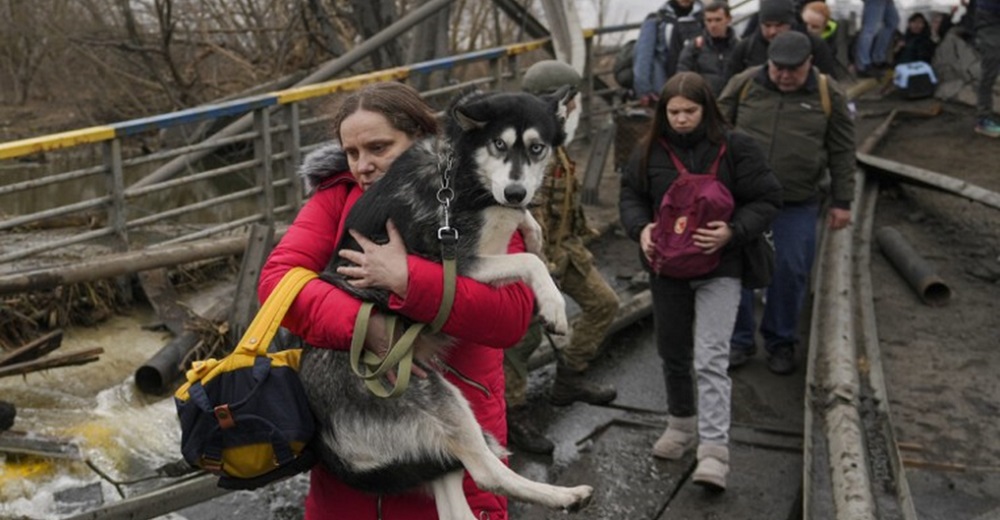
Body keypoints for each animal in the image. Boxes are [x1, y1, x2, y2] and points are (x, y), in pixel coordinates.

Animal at [298, 87, 592, 516]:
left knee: (455, 496)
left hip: (427, 442)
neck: (461, 172)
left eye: (537, 148)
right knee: (486, 473)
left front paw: (534, 229)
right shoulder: (458, 262)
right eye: (498, 144)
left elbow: (525, 236)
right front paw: (553, 305)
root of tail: (324, 439)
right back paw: (564, 496)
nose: (516, 192)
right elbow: (528, 260)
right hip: (436, 397)